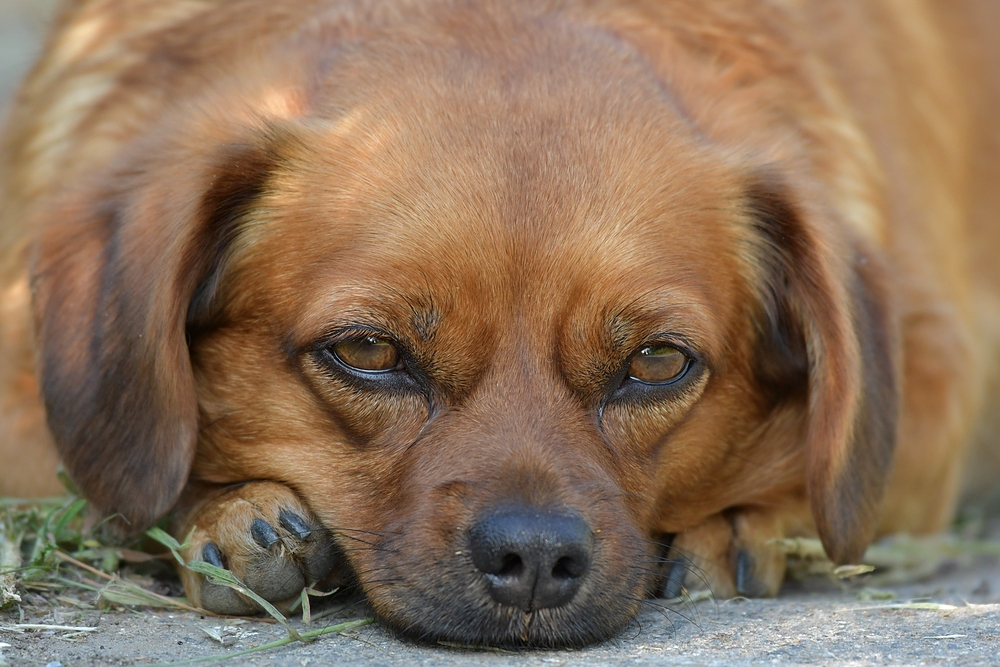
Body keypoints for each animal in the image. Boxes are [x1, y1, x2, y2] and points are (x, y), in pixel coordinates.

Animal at [1, 0, 1000, 648]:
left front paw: (737, 523)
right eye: (368, 350)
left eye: (657, 361)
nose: (535, 556)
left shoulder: (931, 385)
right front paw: (232, 509)